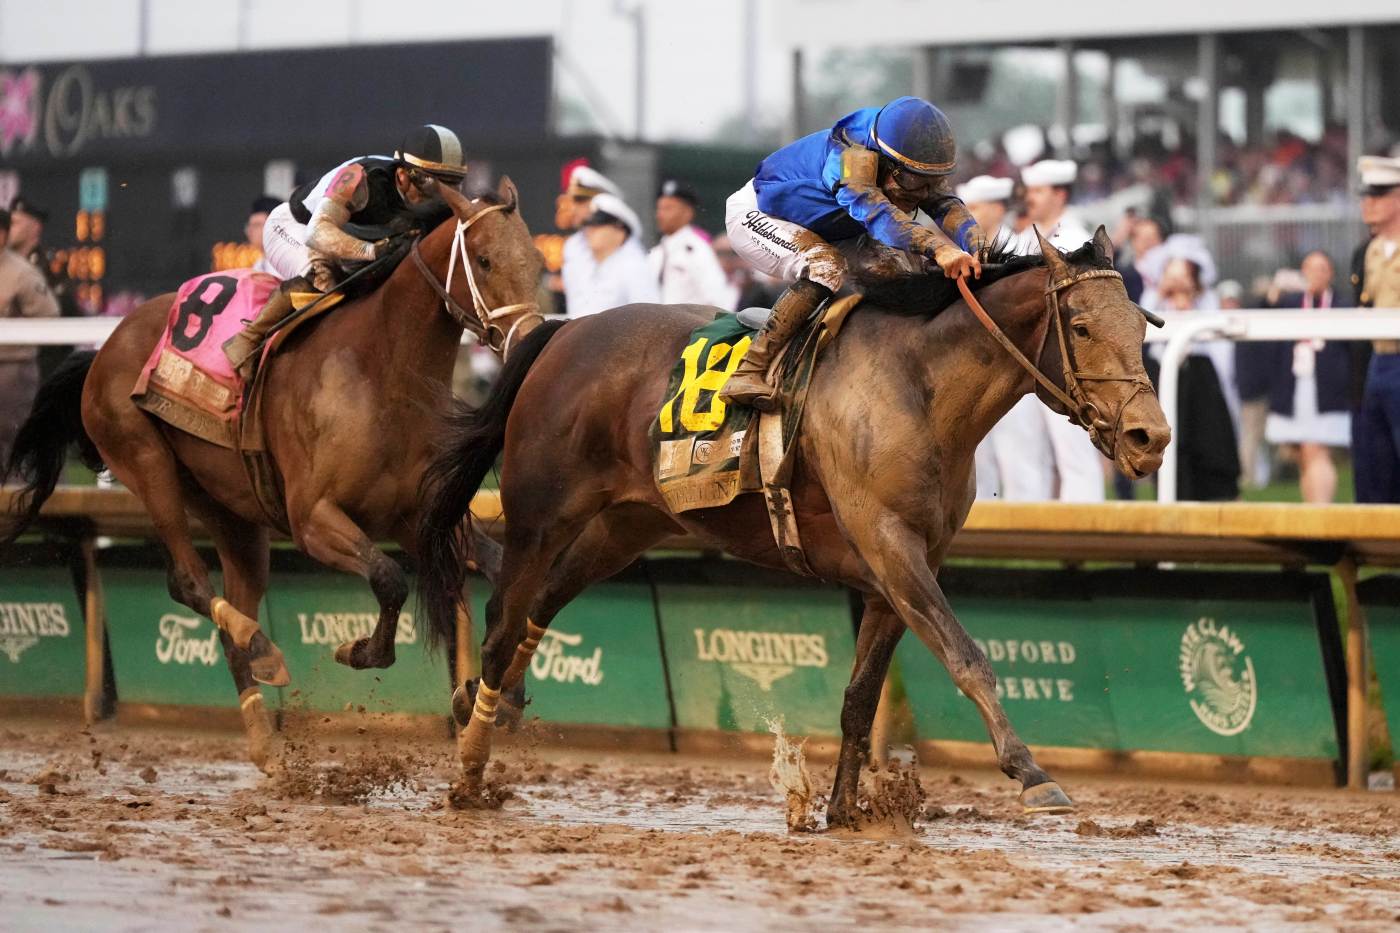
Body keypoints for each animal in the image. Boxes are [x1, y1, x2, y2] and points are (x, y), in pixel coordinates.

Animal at [2, 177, 542, 770]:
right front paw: (359, 649)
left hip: (232, 513)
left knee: (230, 608)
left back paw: (263, 734)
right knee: (188, 581)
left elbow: (503, 578)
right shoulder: (312, 519)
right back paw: (262, 647)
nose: (529, 338)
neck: (381, 371)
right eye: (485, 259)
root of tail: (106, 347)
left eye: (535, 259)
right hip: (145, 461)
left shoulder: (417, 516)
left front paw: (495, 694)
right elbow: (389, 579)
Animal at [416, 227, 1171, 827]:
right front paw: (1031, 772)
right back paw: (471, 768)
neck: (919, 385)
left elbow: (861, 698)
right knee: (500, 624)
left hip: (624, 525)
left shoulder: (898, 569)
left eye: (1138, 328)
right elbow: (967, 656)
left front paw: (844, 809)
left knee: (538, 610)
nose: (1151, 438)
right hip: (540, 515)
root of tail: (564, 330)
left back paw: (484, 709)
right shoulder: (891, 547)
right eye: (1081, 327)